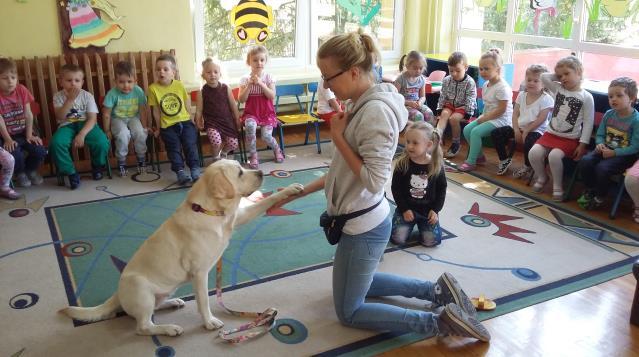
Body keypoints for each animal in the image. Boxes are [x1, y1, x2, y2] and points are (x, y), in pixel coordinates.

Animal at [61, 160, 306, 336]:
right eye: (239, 172)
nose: (261, 173)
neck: (210, 212)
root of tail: (117, 294)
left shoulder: (238, 217)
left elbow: (265, 201)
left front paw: (291, 188)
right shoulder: (200, 272)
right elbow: (204, 301)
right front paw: (209, 322)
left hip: (162, 291)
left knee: (153, 310)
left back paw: (173, 303)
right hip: (140, 288)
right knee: (143, 326)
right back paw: (169, 329)